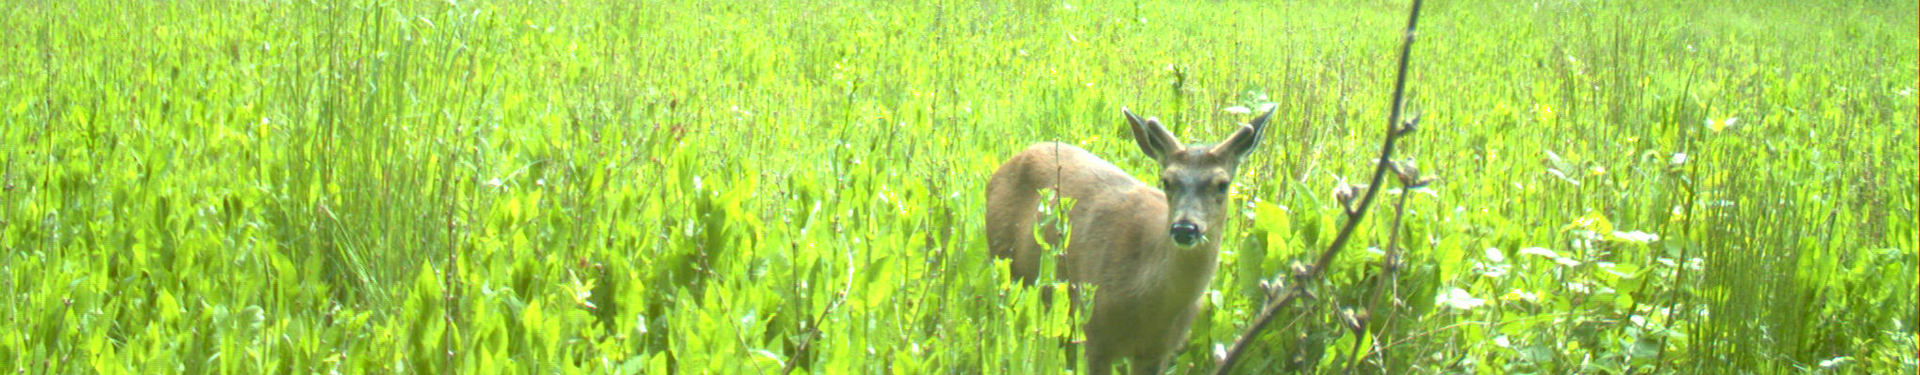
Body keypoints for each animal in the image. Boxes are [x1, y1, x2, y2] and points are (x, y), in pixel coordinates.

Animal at [990, 106, 1274, 373]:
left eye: (1222, 184)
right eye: (1166, 181)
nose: (1184, 228)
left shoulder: (1159, 350)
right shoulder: (1095, 332)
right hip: (1004, 260)